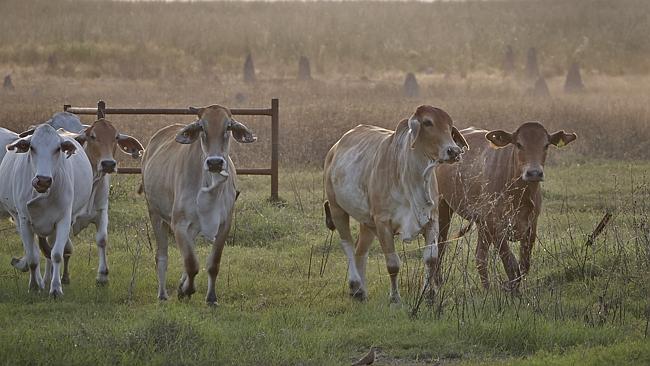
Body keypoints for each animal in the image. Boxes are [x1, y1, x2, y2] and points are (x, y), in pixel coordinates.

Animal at [0, 124, 92, 296]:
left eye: (58, 149)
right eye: (32, 147)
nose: (42, 180)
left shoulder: (63, 220)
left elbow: (56, 255)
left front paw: (56, 288)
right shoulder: (24, 221)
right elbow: (32, 257)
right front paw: (34, 286)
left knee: (49, 252)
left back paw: (48, 280)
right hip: (19, 220)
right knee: (36, 252)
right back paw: (39, 282)